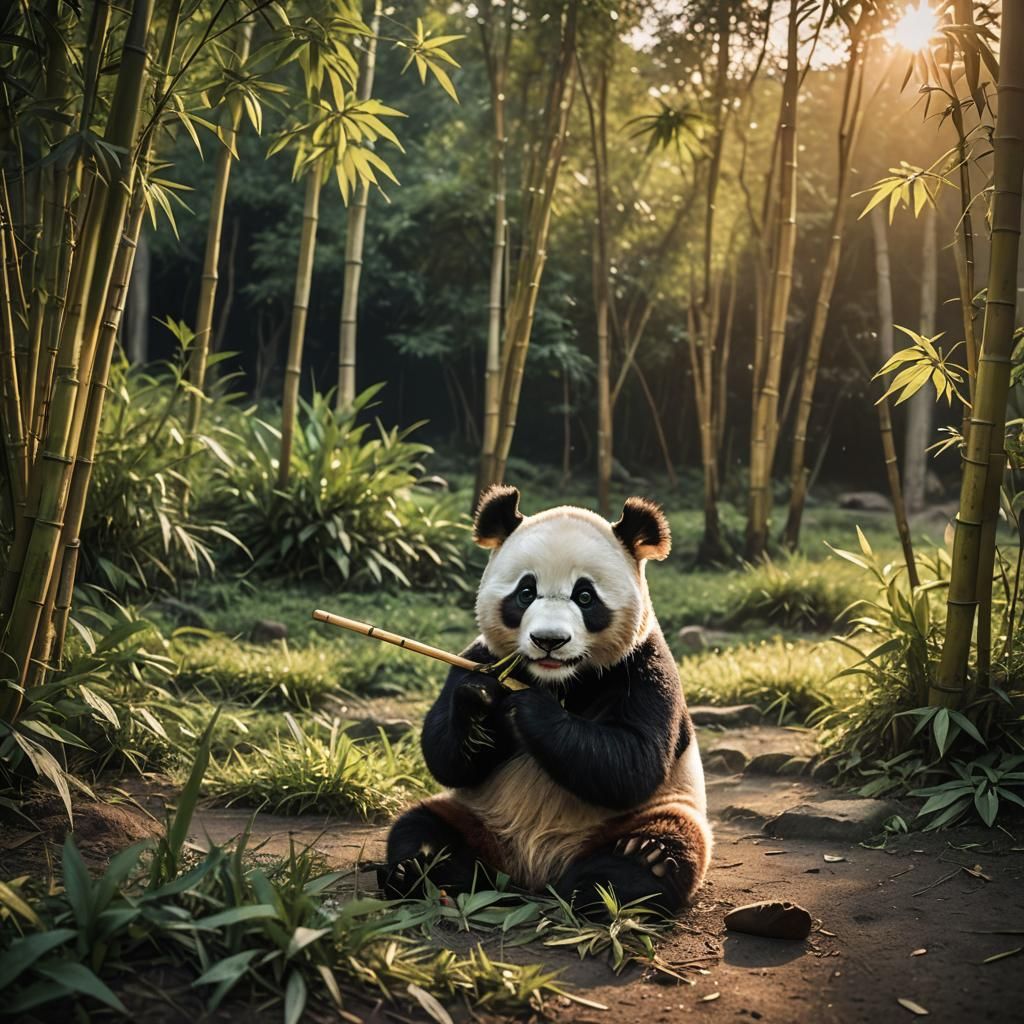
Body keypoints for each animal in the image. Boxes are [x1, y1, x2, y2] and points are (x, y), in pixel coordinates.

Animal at [380, 485, 711, 914]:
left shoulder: (643, 666)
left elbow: (634, 761)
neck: (558, 680)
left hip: (650, 813)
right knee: (420, 825)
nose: (548, 640)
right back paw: (417, 869)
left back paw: (612, 881)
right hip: (474, 813)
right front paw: (479, 700)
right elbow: (445, 756)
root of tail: (531, 869)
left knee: (664, 844)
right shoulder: (480, 656)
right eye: (525, 592)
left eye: (585, 596)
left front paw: (531, 711)